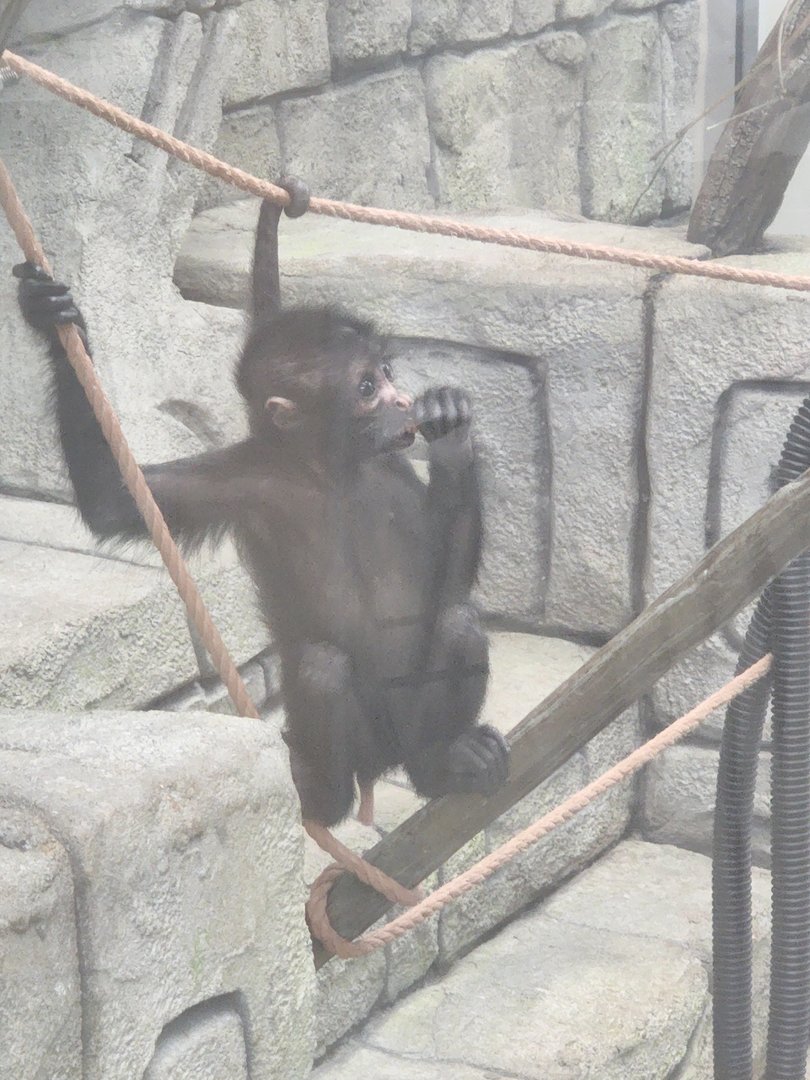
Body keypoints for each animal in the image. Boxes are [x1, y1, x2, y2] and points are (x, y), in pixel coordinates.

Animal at [14, 178, 510, 827]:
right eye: (367, 386)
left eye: (387, 372)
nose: (404, 402)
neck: (326, 469)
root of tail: (382, 765)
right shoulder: (243, 478)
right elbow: (113, 500)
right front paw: (51, 319)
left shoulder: (392, 470)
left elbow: (441, 583)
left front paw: (451, 433)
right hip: (351, 741)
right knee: (322, 670)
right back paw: (324, 798)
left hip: (406, 727)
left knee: (457, 624)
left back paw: (438, 764)